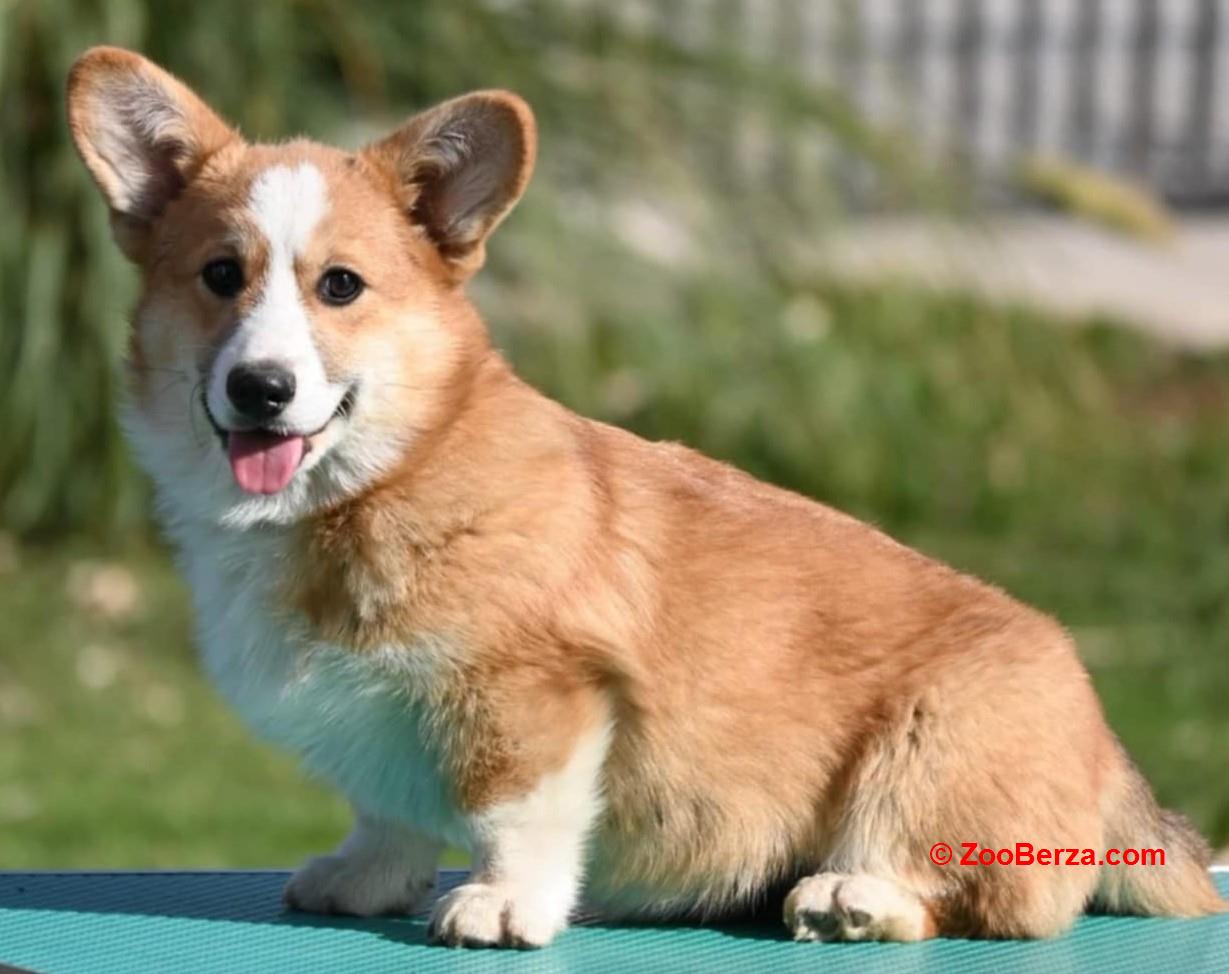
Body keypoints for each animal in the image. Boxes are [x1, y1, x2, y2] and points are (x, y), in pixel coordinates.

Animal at [64, 47, 1219, 948]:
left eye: (339, 286)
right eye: (221, 275)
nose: (260, 388)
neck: (384, 476)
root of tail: (1110, 753)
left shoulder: (532, 692)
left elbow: (513, 811)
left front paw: (502, 906)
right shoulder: (378, 724)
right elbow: (386, 807)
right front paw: (365, 875)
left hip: (927, 745)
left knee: (985, 899)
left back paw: (852, 897)